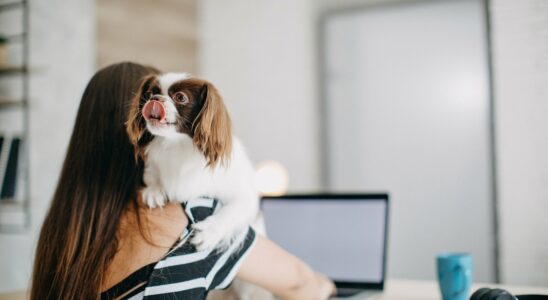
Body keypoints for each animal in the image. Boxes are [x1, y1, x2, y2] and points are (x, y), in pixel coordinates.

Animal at [127, 72, 260, 251]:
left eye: (180, 97)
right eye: (149, 93)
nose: (154, 98)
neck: (176, 144)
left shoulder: (244, 196)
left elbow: (230, 213)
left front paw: (208, 233)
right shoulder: (153, 166)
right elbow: (152, 176)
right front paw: (154, 191)